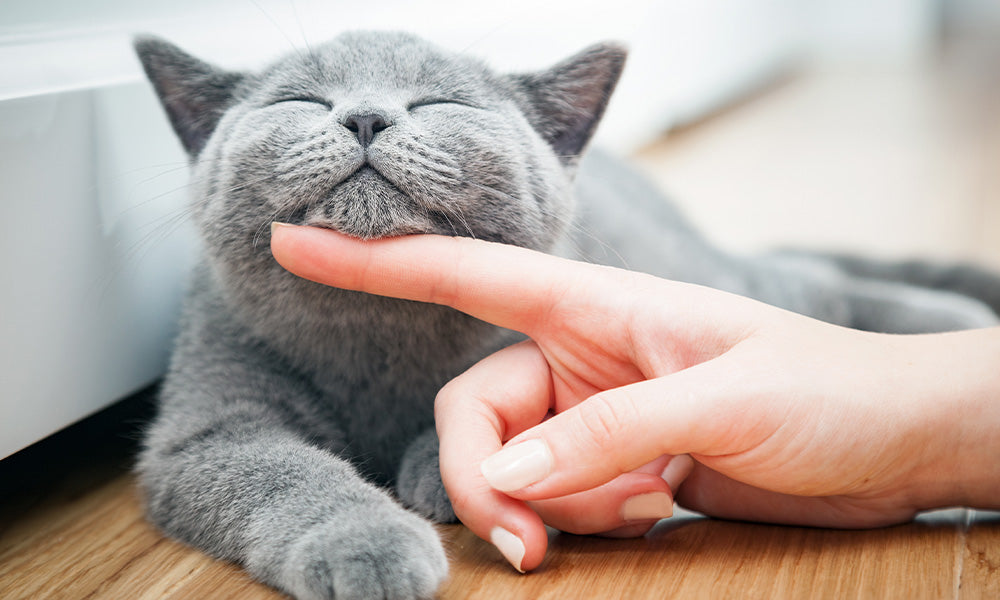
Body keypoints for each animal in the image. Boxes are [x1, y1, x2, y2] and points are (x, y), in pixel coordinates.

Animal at [135, 29, 1000, 600]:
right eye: (300, 100)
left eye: (438, 100)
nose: (366, 116)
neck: (378, 332)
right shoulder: (208, 428)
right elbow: (283, 472)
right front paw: (369, 543)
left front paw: (441, 470)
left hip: (698, 272)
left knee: (805, 283)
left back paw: (955, 319)